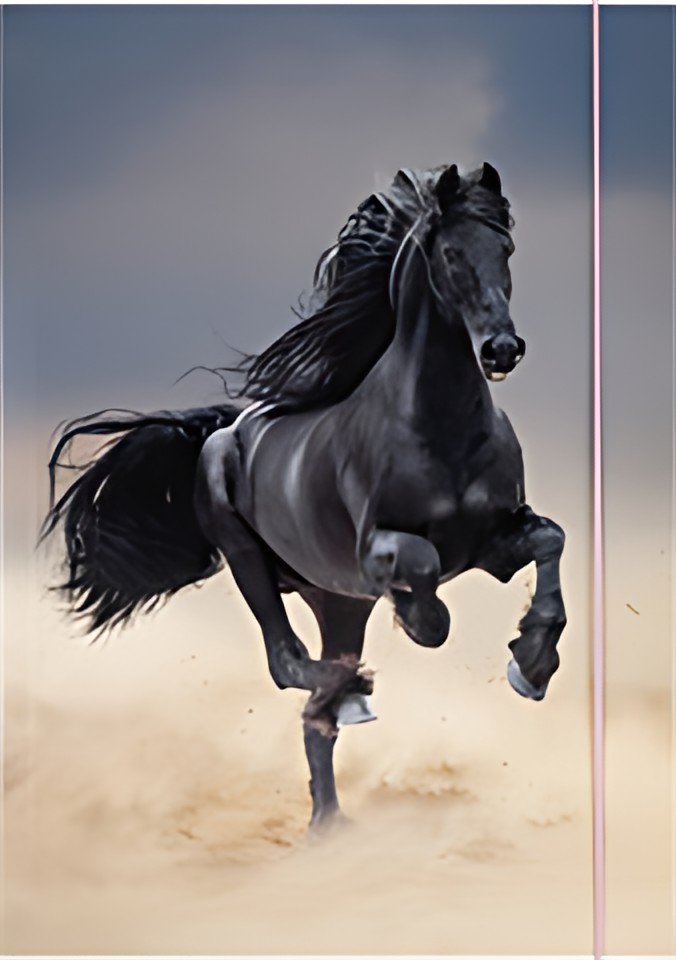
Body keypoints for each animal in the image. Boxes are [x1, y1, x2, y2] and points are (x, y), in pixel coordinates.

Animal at [44, 162, 566, 831]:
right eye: (451, 253)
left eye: (505, 249)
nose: (501, 348)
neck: (440, 429)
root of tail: (222, 432)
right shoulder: (377, 549)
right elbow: (422, 576)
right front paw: (422, 619)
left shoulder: (495, 540)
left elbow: (550, 540)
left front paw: (531, 663)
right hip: (252, 564)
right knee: (287, 662)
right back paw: (352, 702)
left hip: (338, 603)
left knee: (314, 714)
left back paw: (331, 822)